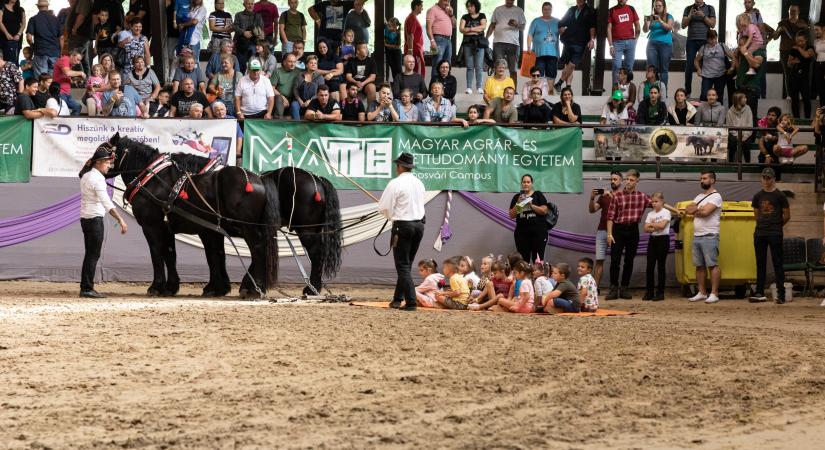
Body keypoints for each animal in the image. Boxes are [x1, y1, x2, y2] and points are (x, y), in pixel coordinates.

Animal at [107, 132, 280, 298]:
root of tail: (259, 179)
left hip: (248, 228)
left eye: (104, 150)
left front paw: (156, 287)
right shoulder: (176, 229)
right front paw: (172, 287)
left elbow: (157, 253)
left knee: (258, 250)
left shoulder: (153, 226)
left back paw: (254, 289)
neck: (154, 180)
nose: (96, 168)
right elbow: (174, 254)